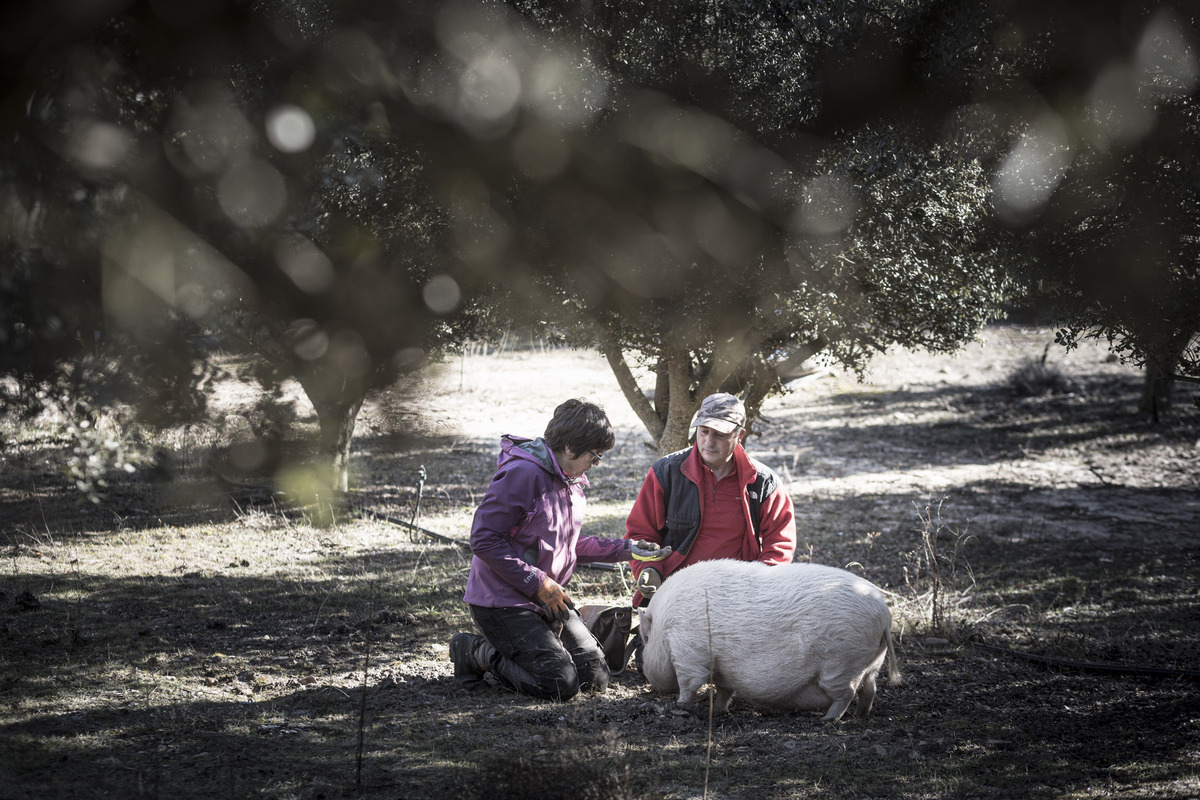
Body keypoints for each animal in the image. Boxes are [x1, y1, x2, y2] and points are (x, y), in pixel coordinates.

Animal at [638, 561, 902, 724]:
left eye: (645, 640)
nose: (650, 686)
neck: (664, 628)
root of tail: (884, 614)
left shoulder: (688, 653)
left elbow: (689, 683)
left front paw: (680, 705)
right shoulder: (722, 669)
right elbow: (724, 690)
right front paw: (717, 710)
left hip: (840, 664)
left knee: (847, 693)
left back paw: (827, 719)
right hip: (872, 662)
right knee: (870, 688)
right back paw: (860, 716)